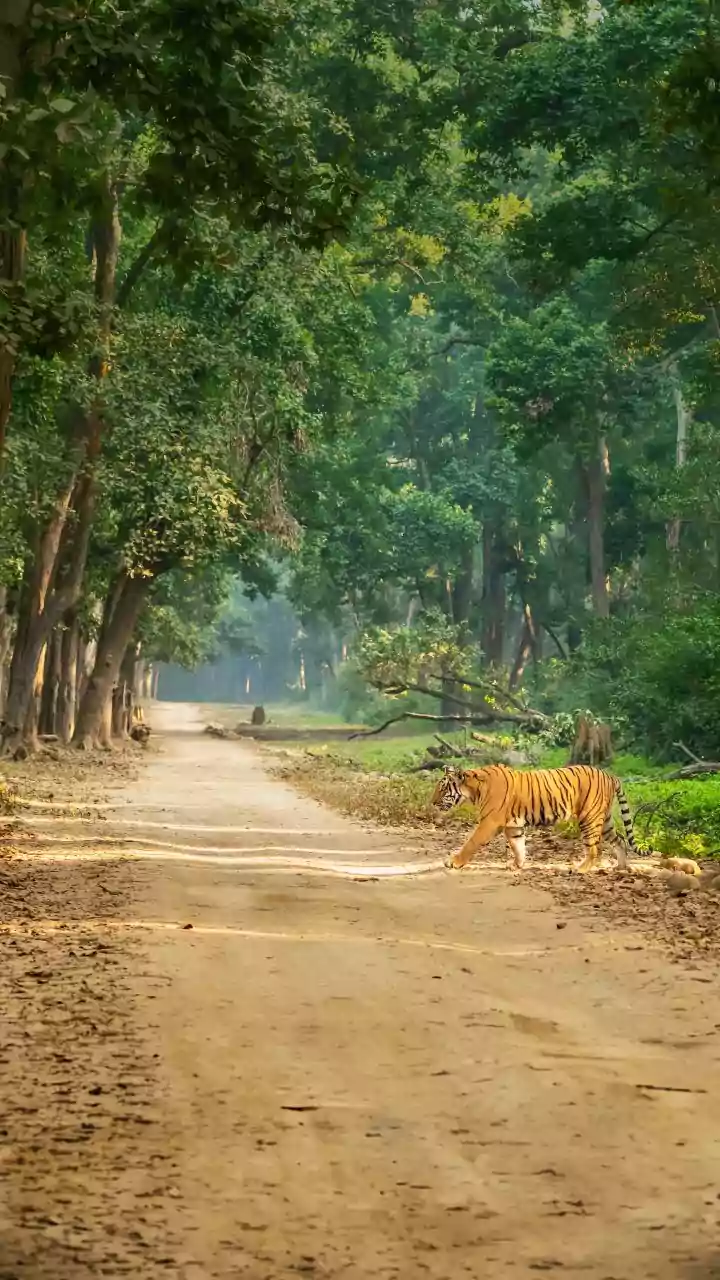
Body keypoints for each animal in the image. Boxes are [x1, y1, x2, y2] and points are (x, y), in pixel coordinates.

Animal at [431, 763, 641, 873]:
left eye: (442, 789)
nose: (432, 803)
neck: (475, 789)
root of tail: (610, 775)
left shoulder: (489, 822)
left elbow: (471, 842)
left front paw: (454, 862)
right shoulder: (513, 826)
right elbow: (518, 846)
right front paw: (517, 865)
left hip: (589, 818)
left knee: (595, 850)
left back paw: (580, 869)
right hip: (604, 821)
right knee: (620, 840)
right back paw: (622, 867)